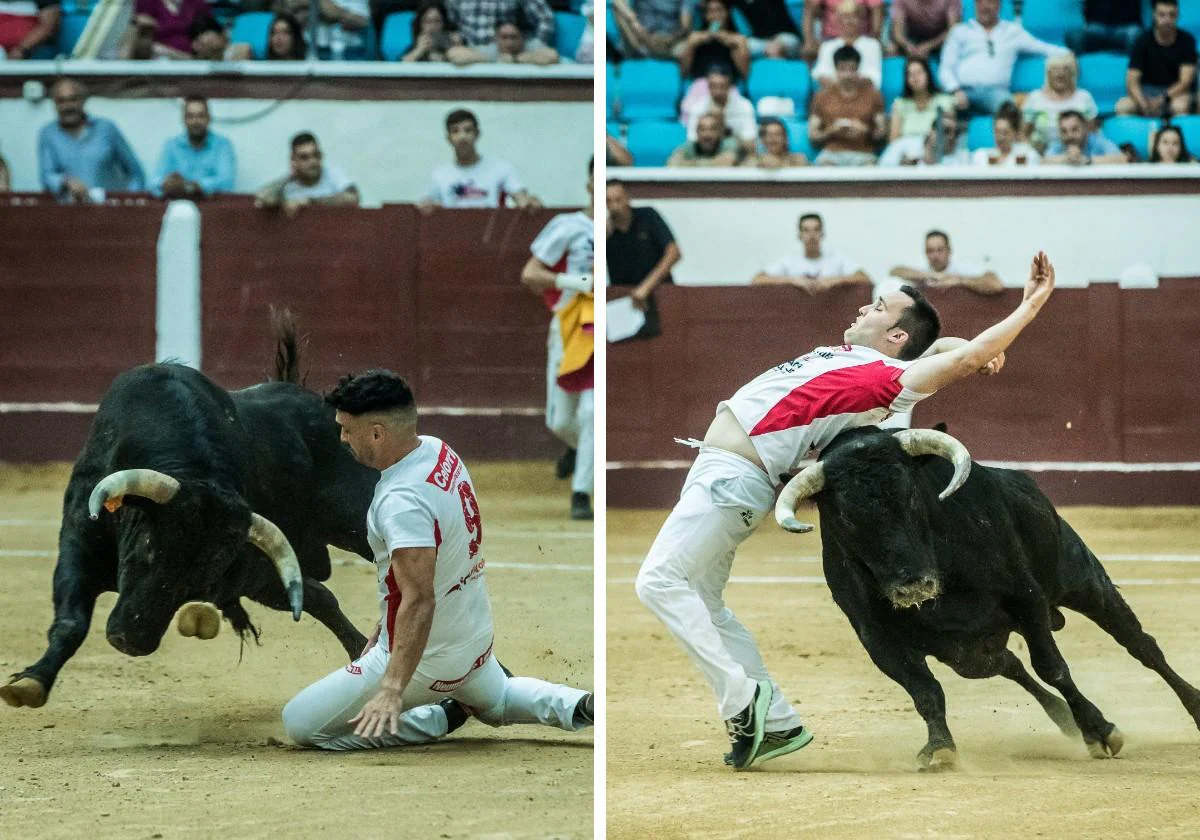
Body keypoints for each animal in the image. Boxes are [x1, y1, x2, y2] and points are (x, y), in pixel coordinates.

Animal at [1, 309, 374, 710]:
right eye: (148, 549)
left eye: (207, 571)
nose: (130, 640)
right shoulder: (79, 541)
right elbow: (71, 621)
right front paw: (31, 682)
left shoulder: (244, 566)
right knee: (320, 597)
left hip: (354, 522)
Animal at [772, 429, 1200, 772]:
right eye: (846, 517)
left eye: (910, 497)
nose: (912, 585)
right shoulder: (878, 640)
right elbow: (925, 691)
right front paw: (940, 748)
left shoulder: (1027, 599)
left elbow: (1052, 667)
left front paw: (1099, 730)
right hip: (970, 656)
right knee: (1009, 664)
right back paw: (1063, 719)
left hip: (1083, 581)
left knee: (1141, 646)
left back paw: (1191, 706)